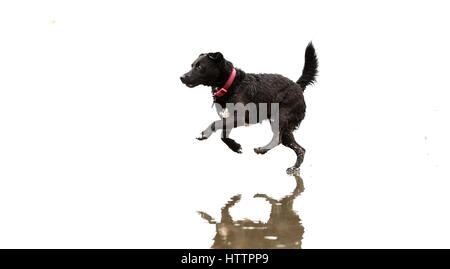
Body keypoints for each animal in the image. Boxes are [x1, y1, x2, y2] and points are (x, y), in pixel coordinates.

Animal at [181, 43, 318, 173]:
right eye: (192, 65)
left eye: (199, 66)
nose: (182, 77)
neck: (230, 84)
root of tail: (298, 86)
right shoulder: (228, 119)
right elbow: (223, 135)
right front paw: (236, 147)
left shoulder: (240, 117)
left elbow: (215, 123)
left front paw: (203, 134)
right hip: (286, 129)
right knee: (300, 149)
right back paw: (294, 167)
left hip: (280, 119)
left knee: (278, 139)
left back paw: (262, 150)